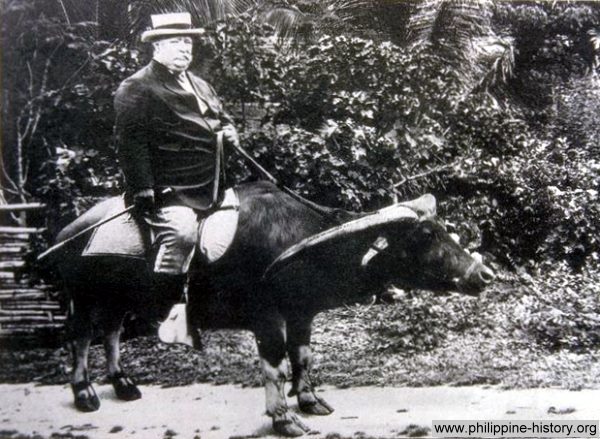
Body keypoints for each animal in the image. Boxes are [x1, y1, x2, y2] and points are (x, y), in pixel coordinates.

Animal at [54, 180, 494, 438]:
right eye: (424, 235)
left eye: (443, 229)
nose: (483, 273)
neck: (298, 242)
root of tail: (69, 230)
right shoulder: (266, 318)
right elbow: (275, 366)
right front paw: (283, 418)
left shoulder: (301, 313)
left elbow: (302, 356)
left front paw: (310, 401)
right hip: (86, 295)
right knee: (81, 336)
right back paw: (85, 392)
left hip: (118, 298)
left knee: (111, 331)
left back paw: (123, 384)